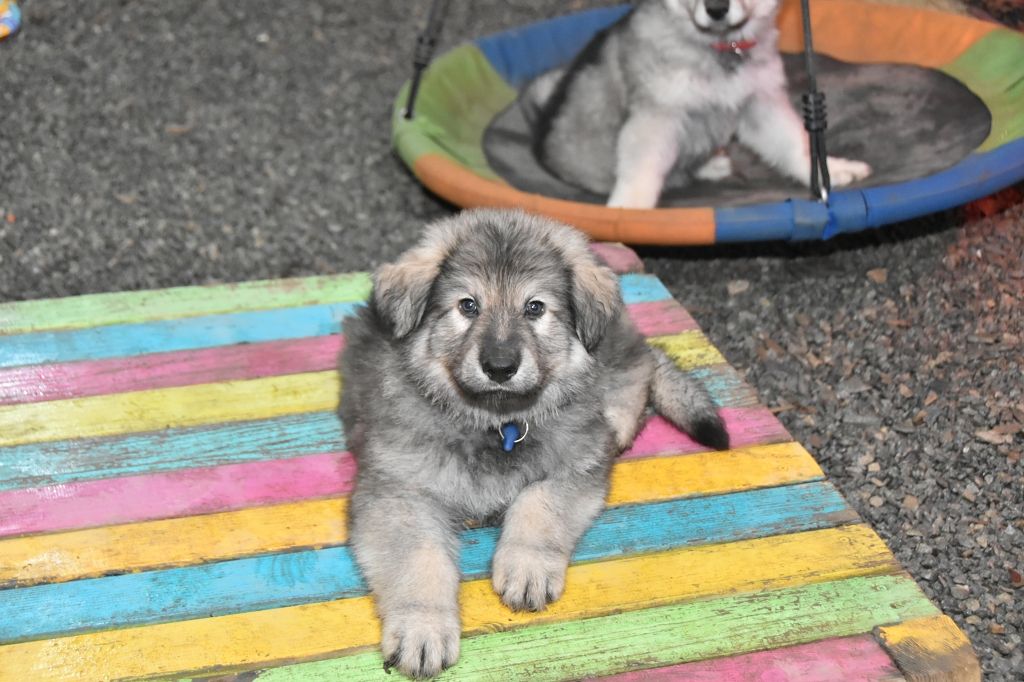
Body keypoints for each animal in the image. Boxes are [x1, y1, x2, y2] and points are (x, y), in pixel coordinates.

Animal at [339, 209, 728, 678]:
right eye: (468, 305)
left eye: (535, 308)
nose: (500, 366)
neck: (496, 422)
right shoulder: (398, 491)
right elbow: (419, 557)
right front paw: (422, 626)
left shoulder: (578, 460)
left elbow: (539, 502)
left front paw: (527, 566)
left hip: (613, 353)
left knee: (641, 365)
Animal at [527, 0, 871, 208]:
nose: (716, 9)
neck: (721, 45)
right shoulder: (657, 115)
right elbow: (641, 167)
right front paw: (630, 206)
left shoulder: (761, 103)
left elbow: (793, 143)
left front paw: (834, 169)